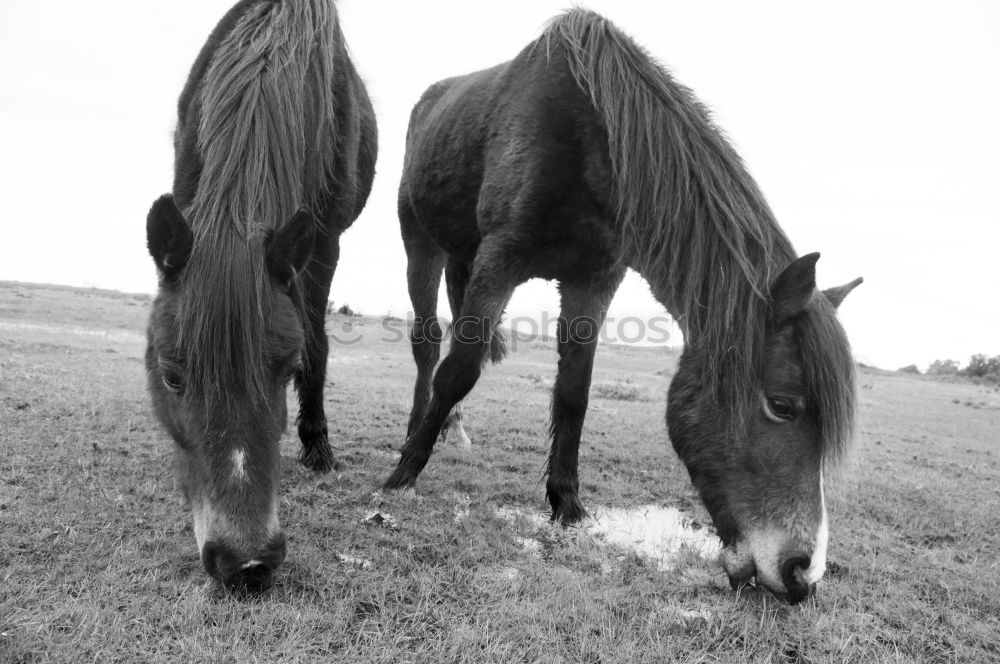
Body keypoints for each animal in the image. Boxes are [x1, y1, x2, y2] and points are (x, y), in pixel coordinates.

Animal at [142, 0, 376, 592]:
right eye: (171, 375)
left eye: (285, 368)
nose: (246, 564)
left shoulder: (324, 242)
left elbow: (317, 342)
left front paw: (318, 446)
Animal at [382, 9, 860, 608]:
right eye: (782, 405)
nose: (803, 575)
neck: (589, 137)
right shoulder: (500, 258)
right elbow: (458, 371)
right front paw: (404, 474)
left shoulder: (593, 282)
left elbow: (573, 394)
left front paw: (565, 502)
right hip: (419, 240)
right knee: (428, 347)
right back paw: (415, 436)